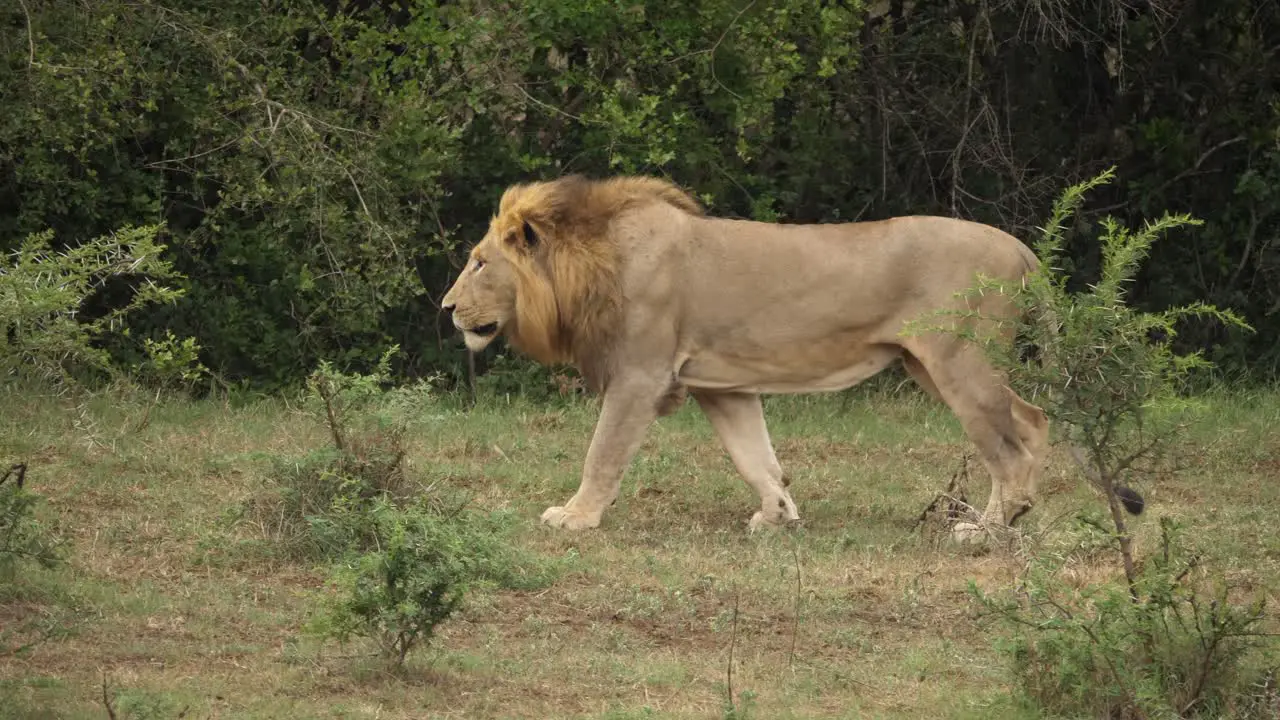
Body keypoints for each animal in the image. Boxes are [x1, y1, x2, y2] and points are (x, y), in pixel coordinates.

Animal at [440, 174, 1070, 532]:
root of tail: (1021, 247)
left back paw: (993, 528)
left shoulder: (640, 375)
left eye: (479, 263)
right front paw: (778, 514)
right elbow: (755, 456)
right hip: (931, 365)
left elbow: (603, 453)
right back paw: (1009, 518)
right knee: (1027, 425)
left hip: (959, 361)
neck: (593, 262)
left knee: (1016, 438)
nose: (446, 308)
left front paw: (576, 517)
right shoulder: (722, 385)